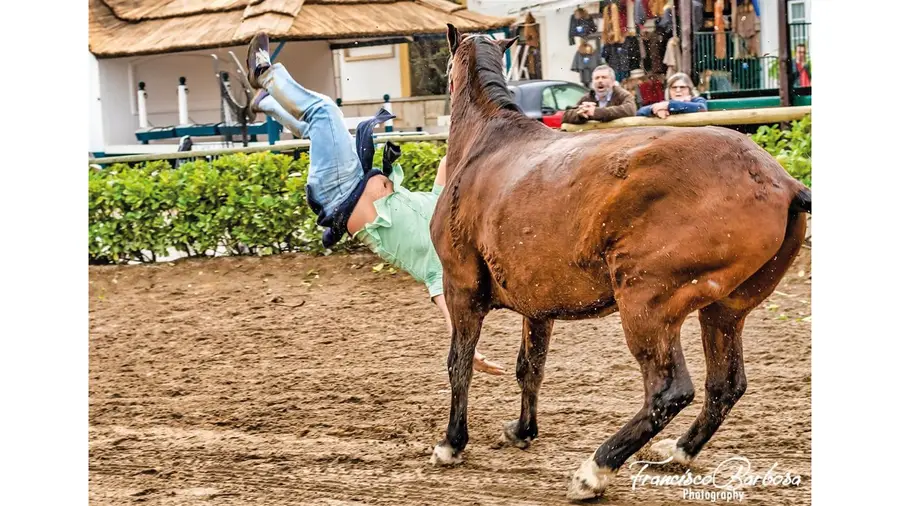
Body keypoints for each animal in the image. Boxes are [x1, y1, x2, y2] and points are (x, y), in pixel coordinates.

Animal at [428, 25, 808, 500]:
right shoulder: (538, 308)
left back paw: (595, 470)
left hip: (647, 304)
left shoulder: (460, 289)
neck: (488, 144)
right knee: (725, 386)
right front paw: (522, 430)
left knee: (668, 392)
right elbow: (530, 368)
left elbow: (458, 364)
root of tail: (783, 182)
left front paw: (451, 443)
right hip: (723, 312)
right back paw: (677, 452)